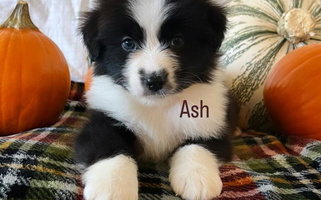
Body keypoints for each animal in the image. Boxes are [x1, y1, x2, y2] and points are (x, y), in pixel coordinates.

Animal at [74, 0, 236, 199]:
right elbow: (107, 145)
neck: (157, 106)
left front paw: (197, 179)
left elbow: (199, 144)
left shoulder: (212, 120)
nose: (154, 80)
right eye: (127, 43)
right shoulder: (104, 116)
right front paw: (112, 187)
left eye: (177, 40)